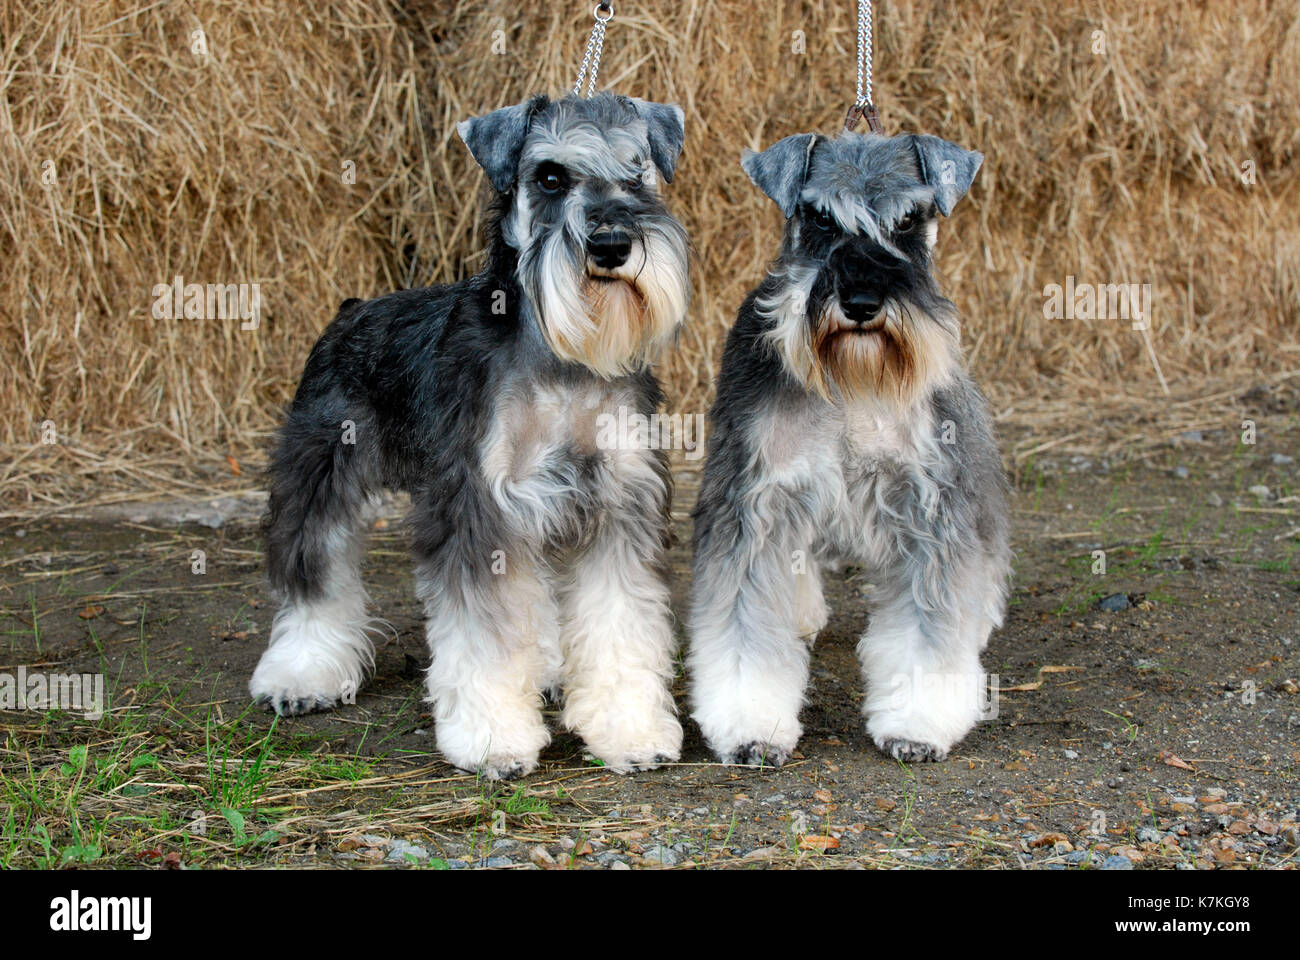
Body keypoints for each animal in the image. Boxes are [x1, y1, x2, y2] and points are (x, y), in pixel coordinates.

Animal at [245, 91, 691, 780]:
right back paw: (300, 674)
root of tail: (349, 311)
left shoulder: (619, 502)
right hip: (320, 472)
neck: (560, 359)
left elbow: (621, 622)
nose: (613, 244)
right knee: (312, 573)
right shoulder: (475, 502)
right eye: (551, 177)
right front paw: (493, 737)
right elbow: (482, 633)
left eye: (638, 171)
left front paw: (630, 729)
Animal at [686, 130, 1008, 764]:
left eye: (908, 219)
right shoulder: (755, 502)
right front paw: (750, 720)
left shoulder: (930, 505)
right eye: (819, 218)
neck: (853, 383)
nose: (861, 302)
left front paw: (919, 720)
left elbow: (928, 627)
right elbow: (743, 624)